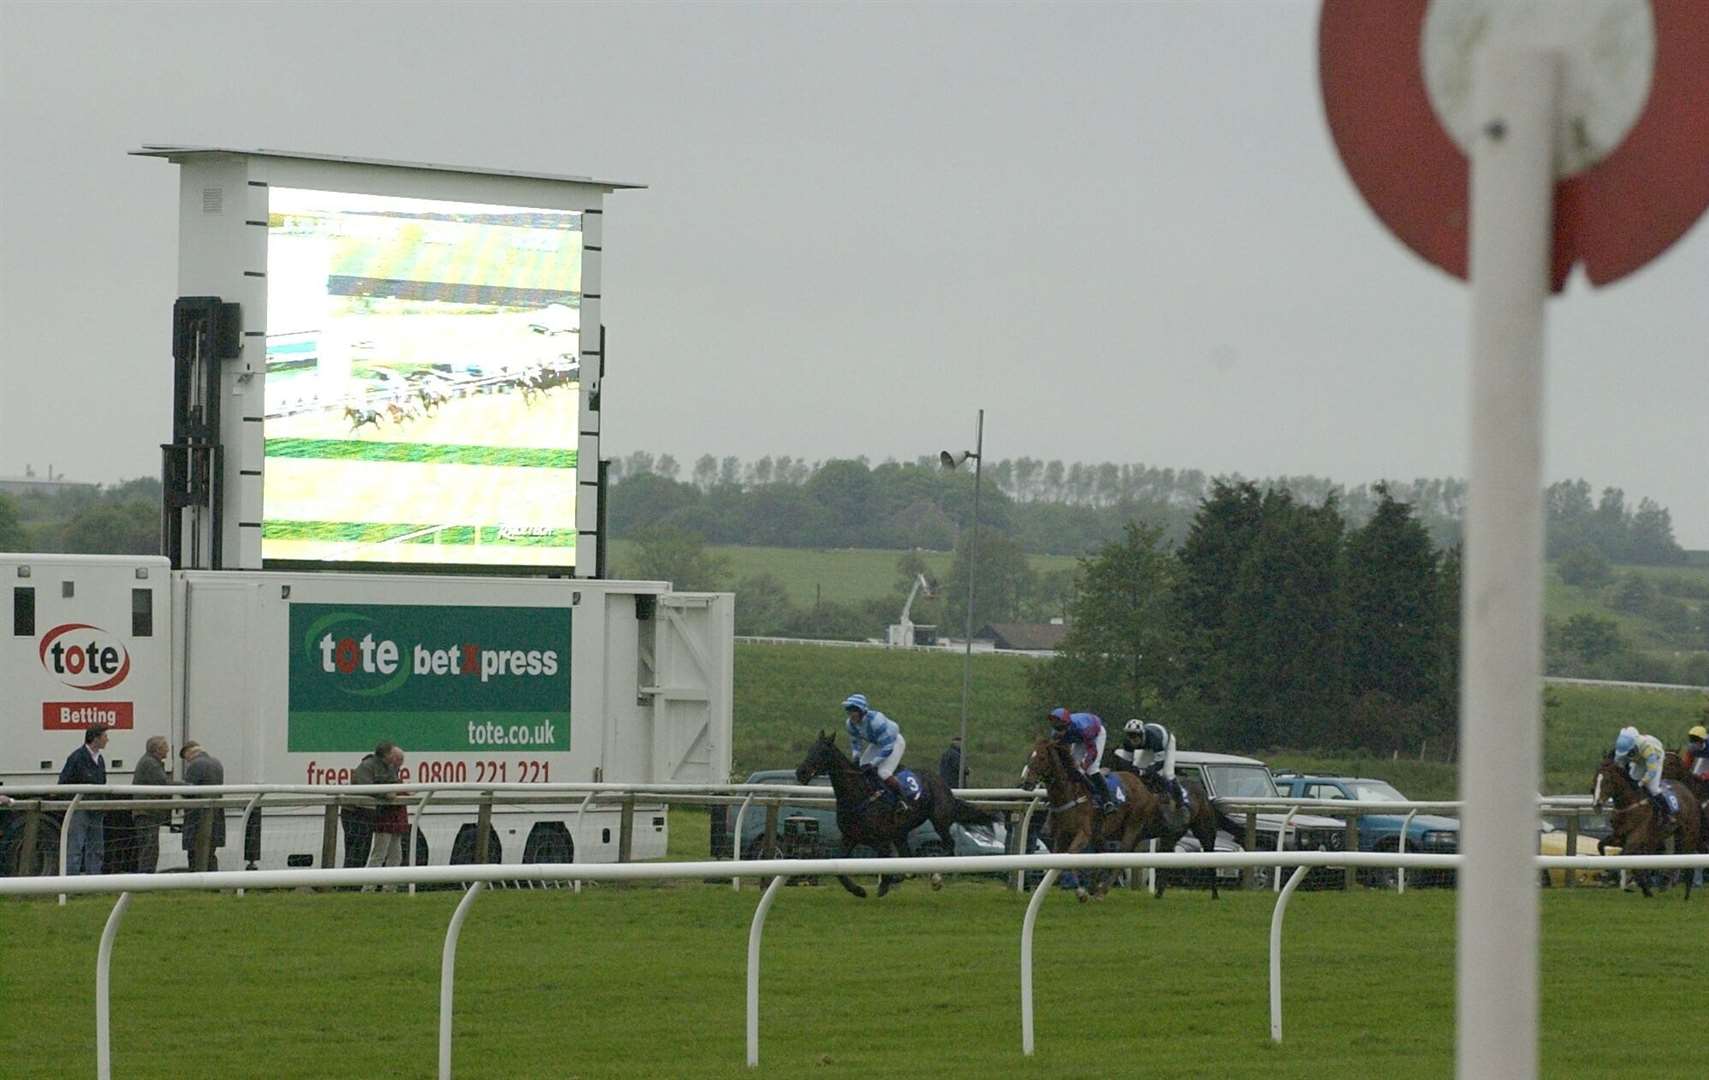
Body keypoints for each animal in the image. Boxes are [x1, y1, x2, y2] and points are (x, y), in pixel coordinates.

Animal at [792, 731, 998, 895]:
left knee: (948, 845)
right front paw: (858, 890)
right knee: (911, 860)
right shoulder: (850, 837)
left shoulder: (880, 841)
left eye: (821, 752)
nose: (800, 772)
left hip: (939, 820)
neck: (858, 794)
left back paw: (936, 878)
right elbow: (839, 867)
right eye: (810, 749)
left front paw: (884, 885)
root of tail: (942, 783)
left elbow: (887, 863)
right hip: (901, 833)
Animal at [1585, 745, 1695, 895]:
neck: (1628, 804)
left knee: (1681, 853)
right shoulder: (1620, 836)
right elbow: (1601, 845)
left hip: (1684, 832)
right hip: (1657, 836)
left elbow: (1625, 856)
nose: (1596, 804)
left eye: (1607, 781)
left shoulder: (1636, 837)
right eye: (1595, 779)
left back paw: (1667, 881)